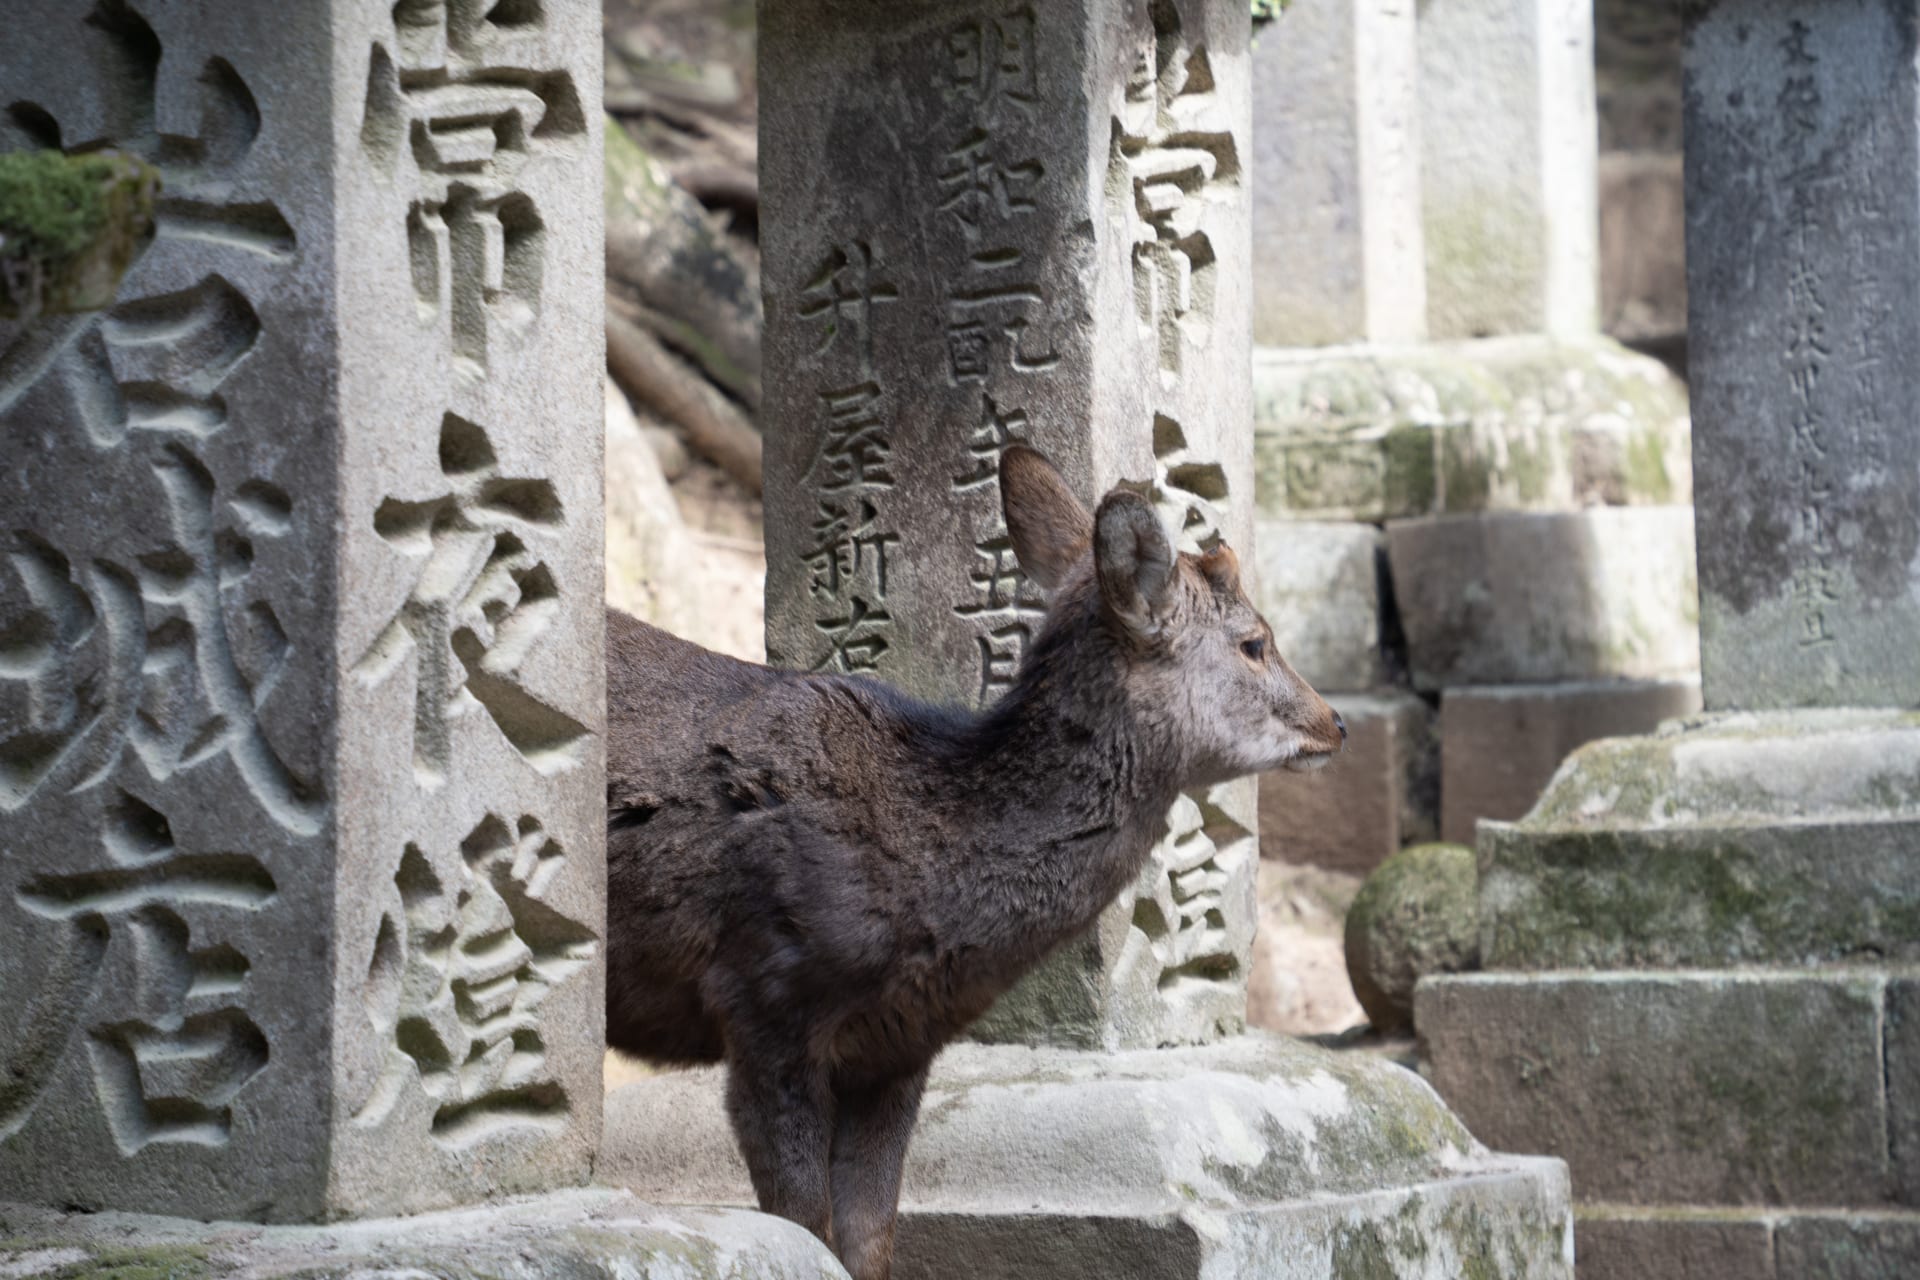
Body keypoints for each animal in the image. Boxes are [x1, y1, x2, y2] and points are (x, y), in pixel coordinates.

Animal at [604, 445, 1347, 1280]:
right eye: (1254, 642)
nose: (1335, 721)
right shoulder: (762, 999)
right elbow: (804, 1225)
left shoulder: (898, 1048)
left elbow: (869, 1238)